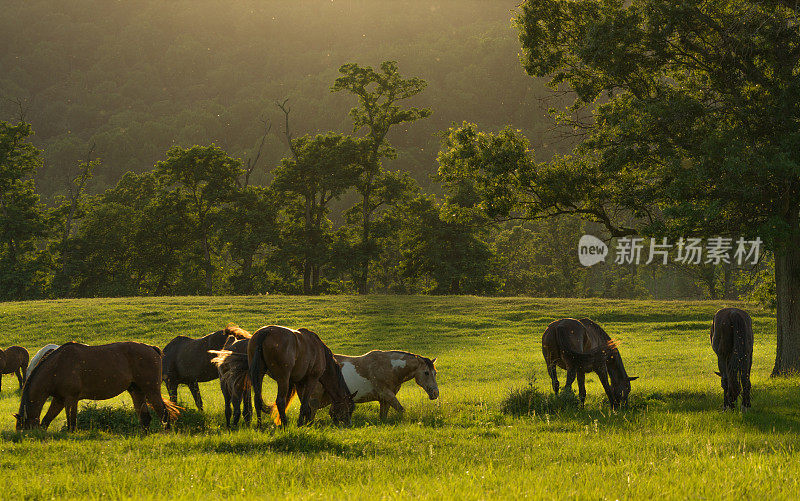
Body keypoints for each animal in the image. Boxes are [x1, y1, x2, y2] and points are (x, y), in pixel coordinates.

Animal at [14, 342, 180, 432]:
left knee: (164, 414)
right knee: (145, 418)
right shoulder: (59, 400)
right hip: (136, 392)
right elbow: (46, 421)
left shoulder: (70, 399)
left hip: (151, 391)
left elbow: (71, 425)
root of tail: (152, 349)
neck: (58, 365)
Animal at [310, 350, 440, 420]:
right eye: (426, 372)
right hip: (316, 397)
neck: (388, 367)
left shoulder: (384, 399)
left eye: (435, 373)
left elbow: (383, 417)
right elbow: (401, 409)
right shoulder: (387, 394)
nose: (435, 393)